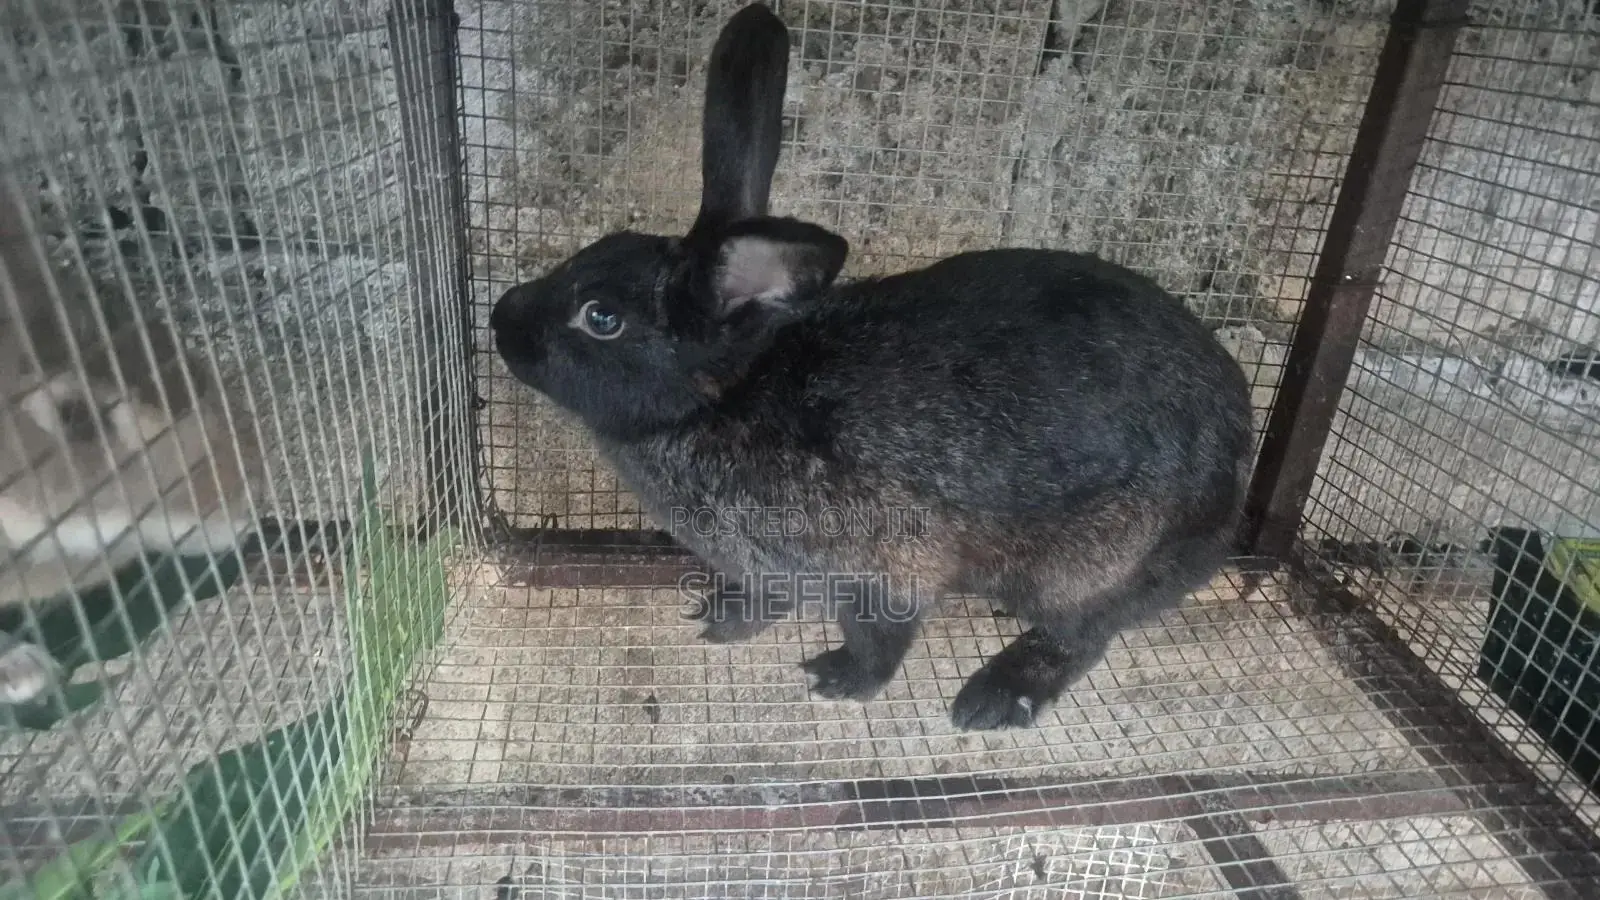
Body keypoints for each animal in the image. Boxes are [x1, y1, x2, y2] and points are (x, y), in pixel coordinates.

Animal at [488, 2, 1255, 730]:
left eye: (600, 318)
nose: (501, 318)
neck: (726, 397)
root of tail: (1231, 494)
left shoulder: (883, 569)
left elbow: (878, 640)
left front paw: (838, 681)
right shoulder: (773, 569)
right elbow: (763, 601)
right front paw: (719, 619)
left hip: (1083, 570)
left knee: (1082, 635)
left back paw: (993, 697)